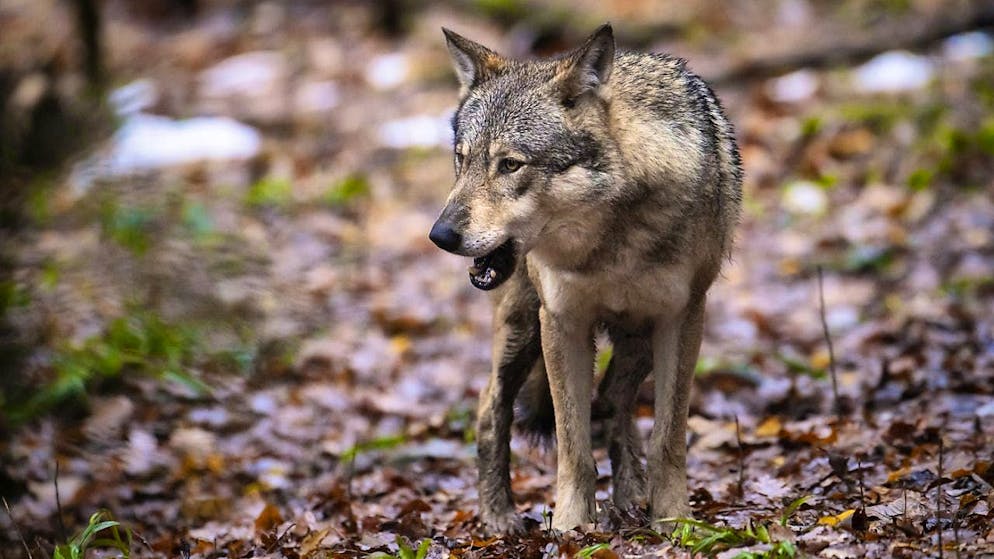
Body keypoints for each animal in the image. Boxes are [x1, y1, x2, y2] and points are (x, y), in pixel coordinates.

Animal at [429, 24, 742, 534]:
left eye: (510, 164)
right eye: (462, 160)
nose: (440, 235)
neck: (609, 243)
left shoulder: (681, 319)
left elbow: (668, 438)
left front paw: (673, 521)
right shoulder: (562, 322)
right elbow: (572, 446)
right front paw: (571, 529)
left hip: (636, 340)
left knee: (613, 402)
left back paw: (630, 495)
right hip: (522, 329)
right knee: (490, 408)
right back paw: (499, 517)